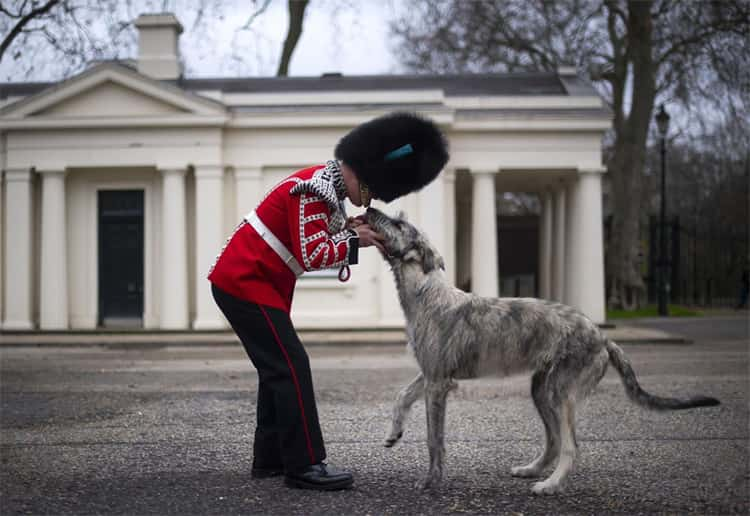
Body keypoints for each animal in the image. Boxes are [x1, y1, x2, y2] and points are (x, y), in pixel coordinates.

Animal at [366, 206, 724, 496]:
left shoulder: (439, 383)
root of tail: (602, 337)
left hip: (562, 392)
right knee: (553, 441)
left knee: (570, 446)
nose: (369, 208)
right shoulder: (430, 374)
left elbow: (434, 439)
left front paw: (431, 481)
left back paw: (550, 484)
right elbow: (402, 395)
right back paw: (533, 470)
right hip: (541, 389)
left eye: (398, 223)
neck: (427, 293)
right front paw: (394, 432)